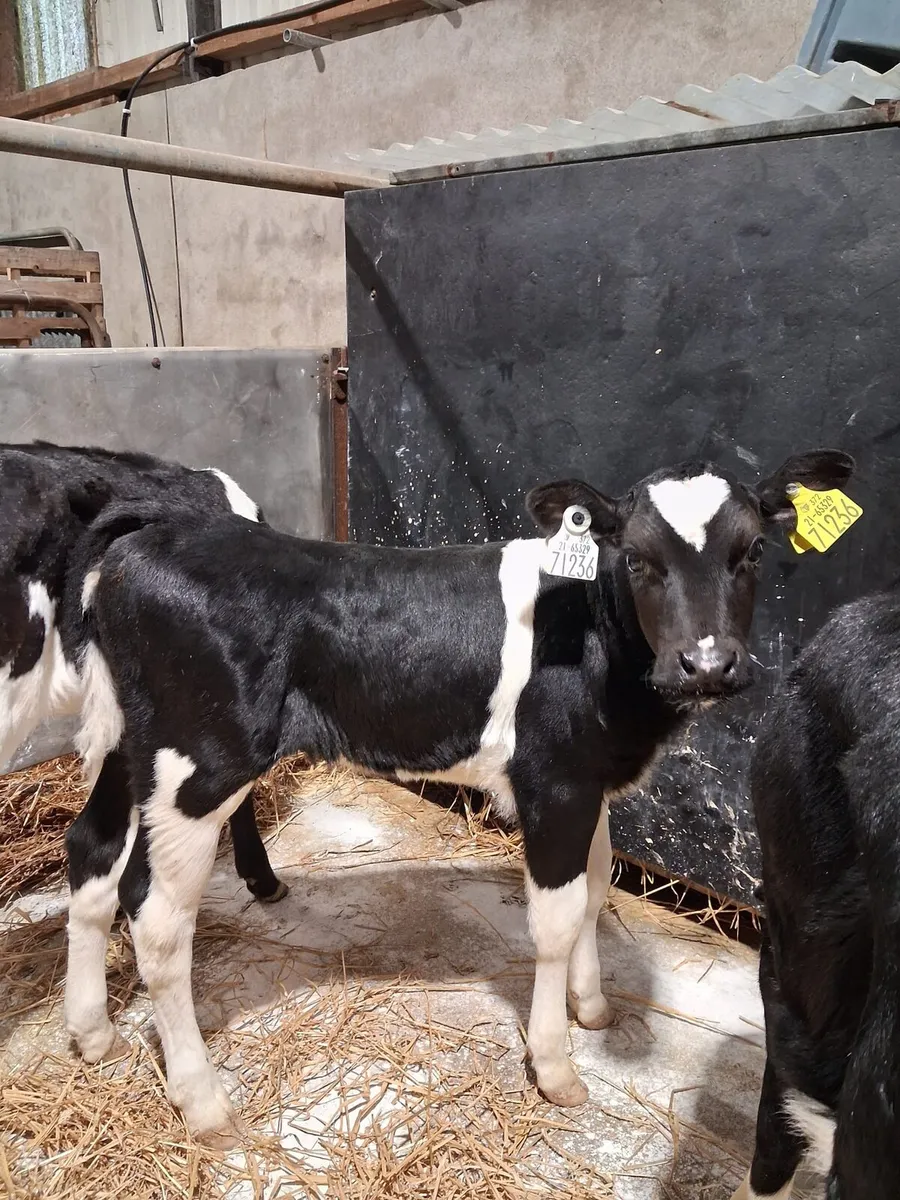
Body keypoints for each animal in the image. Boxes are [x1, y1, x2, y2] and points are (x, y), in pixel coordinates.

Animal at [57, 448, 852, 1146]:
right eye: (637, 559)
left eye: (752, 552)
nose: (707, 664)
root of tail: (147, 537)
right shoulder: (553, 779)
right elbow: (556, 919)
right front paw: (555, 1066)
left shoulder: (588, 777)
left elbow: (595, 888)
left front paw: (591, 1007)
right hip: (202, 762)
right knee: (158, 918)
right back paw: (204, 1103)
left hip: (135, 745)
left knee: (92, 853)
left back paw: (93, 1033)